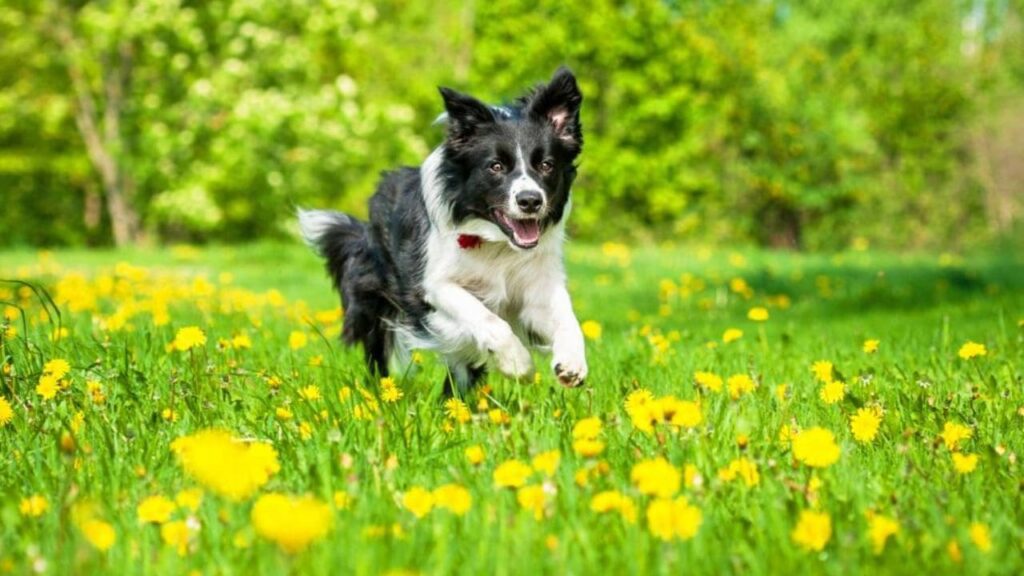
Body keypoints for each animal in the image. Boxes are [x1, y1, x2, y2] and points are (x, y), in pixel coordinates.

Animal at [299, 66, 585, 389]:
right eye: (496, 166)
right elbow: (485, 317)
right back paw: (378, 392)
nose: (530, 201)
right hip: (373, 301)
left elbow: (567, 318)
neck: (497, 244)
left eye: (547, 165)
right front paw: (518, 364)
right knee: (377, 352)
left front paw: (572, 362)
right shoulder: (432, 287)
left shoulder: (537, 284)